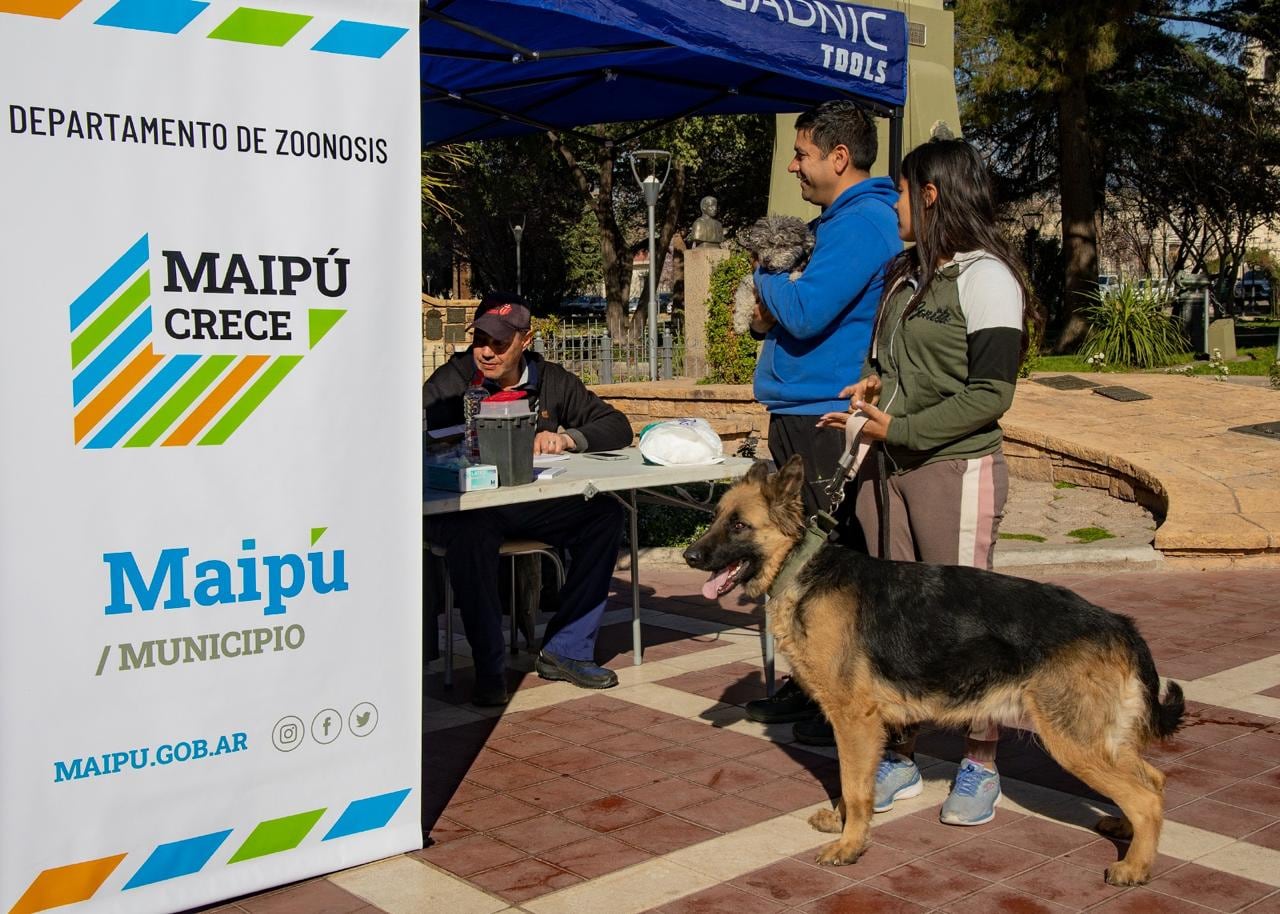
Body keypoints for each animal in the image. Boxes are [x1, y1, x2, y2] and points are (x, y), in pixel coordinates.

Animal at [686, 455, 1182, 880]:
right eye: (715, 518)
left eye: (738, 525)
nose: (690, 557)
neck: (801, 565)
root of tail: (1117, 623)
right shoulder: (861, 727)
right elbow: (855, 782)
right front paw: (845, 824)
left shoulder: (853, 720)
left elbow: (854, 786)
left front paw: (851, 845)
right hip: (1098, 740)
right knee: (1154, 780)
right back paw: (1125, 829)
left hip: (1073, 743)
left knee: (1146, 798)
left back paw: (1135, 866)